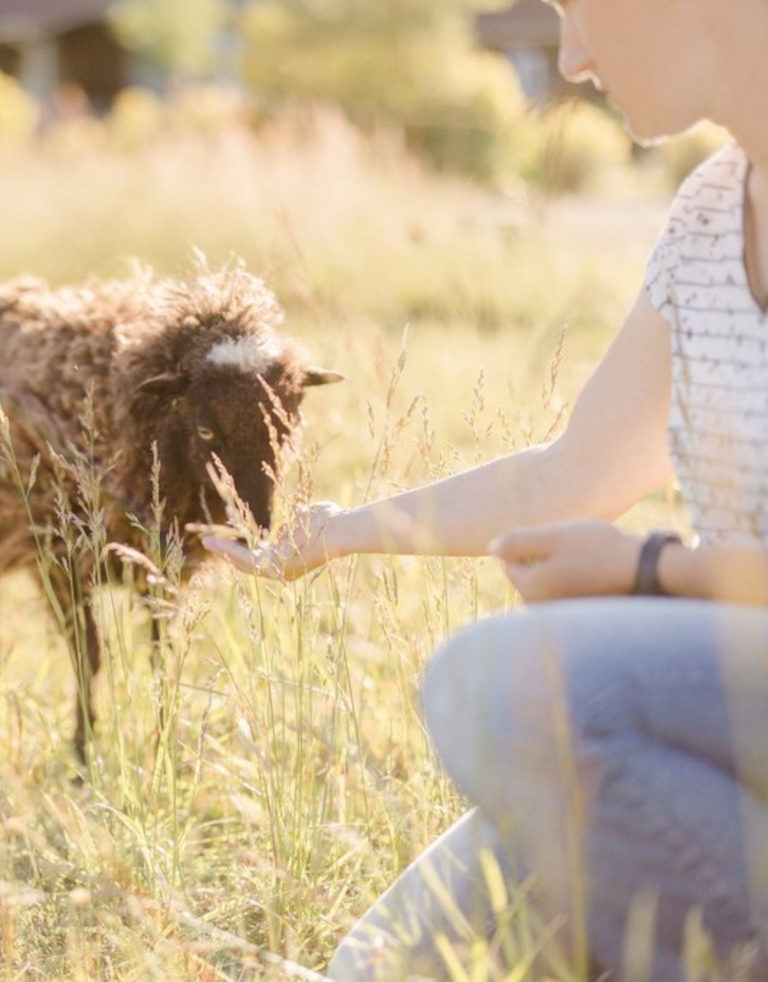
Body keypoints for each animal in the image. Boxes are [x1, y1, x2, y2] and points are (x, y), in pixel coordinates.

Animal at [0, 260, 340, 760]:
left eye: (287, 425)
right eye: (205, 430)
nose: (254, 529)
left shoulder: (163, 568)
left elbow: (161, 659)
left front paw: (165, 749)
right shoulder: (57, 559)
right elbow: (89, 657)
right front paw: (84, 755)